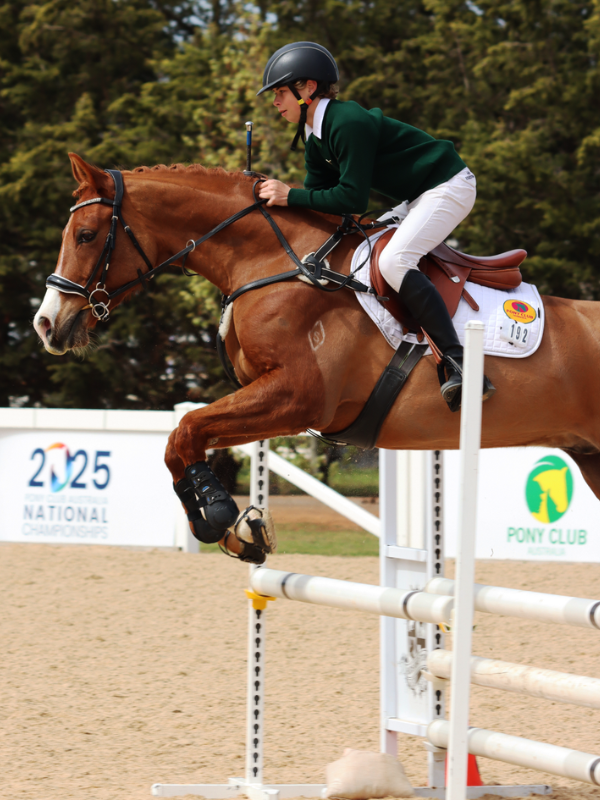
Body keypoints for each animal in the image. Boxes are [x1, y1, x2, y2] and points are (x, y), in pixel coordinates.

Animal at [34, 153, 600, 558]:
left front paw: (219, 515)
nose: (45, 324)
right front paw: (240, 528)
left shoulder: (299, 395)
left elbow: (186, 429)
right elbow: (184, 439)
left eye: (85, 235)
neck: (273, 261)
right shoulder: (268, 395)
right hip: (590, 457)